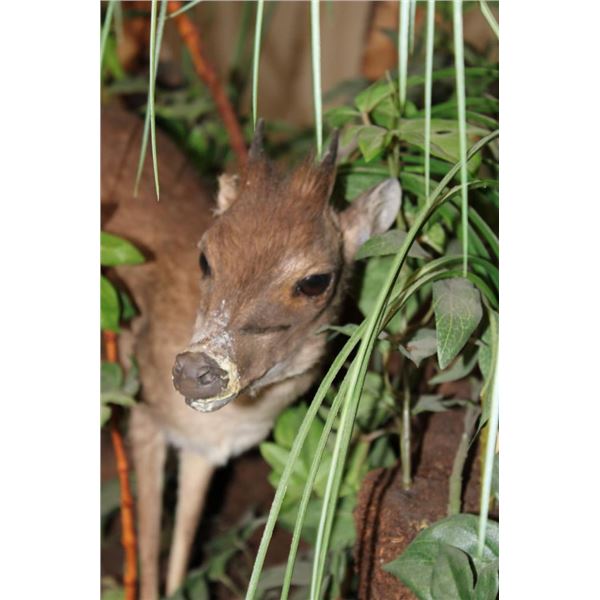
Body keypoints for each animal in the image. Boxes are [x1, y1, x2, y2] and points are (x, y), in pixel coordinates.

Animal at [101, 107, 401, 599]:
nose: (195, 370)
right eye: (205, 256)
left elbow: (183, 545)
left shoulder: (205, 448)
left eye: (316, 280)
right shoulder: (144, 414)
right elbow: (147, 551)